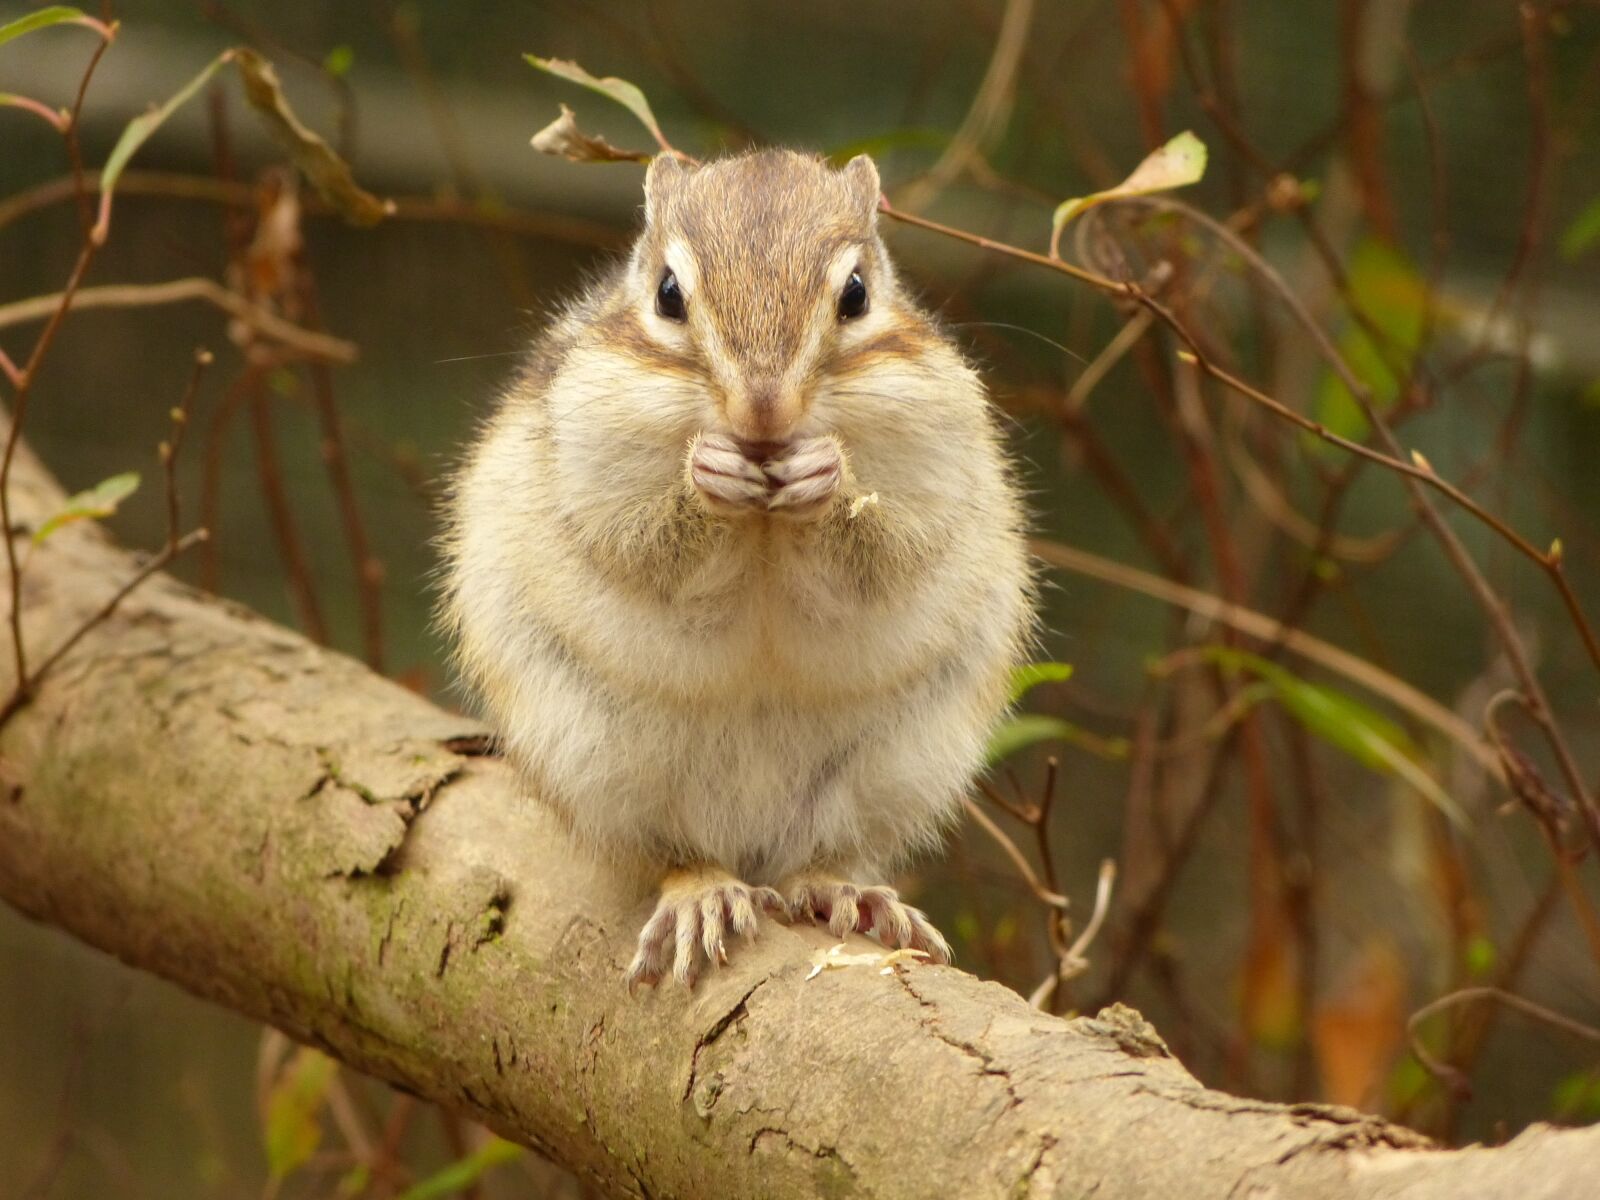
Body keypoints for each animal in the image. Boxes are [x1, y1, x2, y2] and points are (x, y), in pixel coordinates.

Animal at [440, 149, 1033, 989]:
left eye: (857, 294)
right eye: (668, 293)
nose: (763, 413)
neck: (764, 516)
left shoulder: (943, 461)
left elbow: (890, 550)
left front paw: (826, 477)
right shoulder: (584, 465)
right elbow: (639, 544)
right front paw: (706, 479)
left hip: (889, 773)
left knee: (820, 857)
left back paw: (846, 890)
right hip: (605, 765)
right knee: (674, 851)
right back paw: (704, 893)